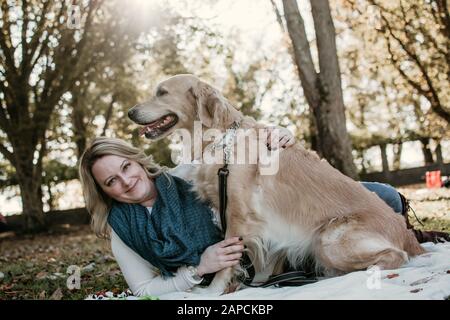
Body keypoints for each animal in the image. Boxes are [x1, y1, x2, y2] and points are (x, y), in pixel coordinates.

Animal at [127, 74, 426, 294]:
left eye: (162, 92)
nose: (130, 112)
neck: (222, 139)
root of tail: (408, 234)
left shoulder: (238, 215)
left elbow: (228, 261)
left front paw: (213, 291)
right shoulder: (259, 224)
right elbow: (260, 260)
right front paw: (259, 284)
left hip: (328, 238)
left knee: (396, 256)